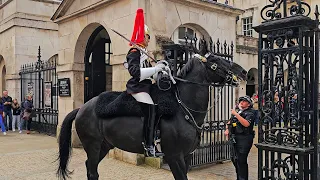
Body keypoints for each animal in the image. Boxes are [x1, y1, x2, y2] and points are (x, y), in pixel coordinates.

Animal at [57, 49, 248, 180]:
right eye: (215, 59)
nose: (243, 71)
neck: (183, 108)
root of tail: (82, 108)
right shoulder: (174, 157)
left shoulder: (186, 156)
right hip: (93, 145)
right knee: (92, 170)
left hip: (104, 145)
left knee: (91, 168)